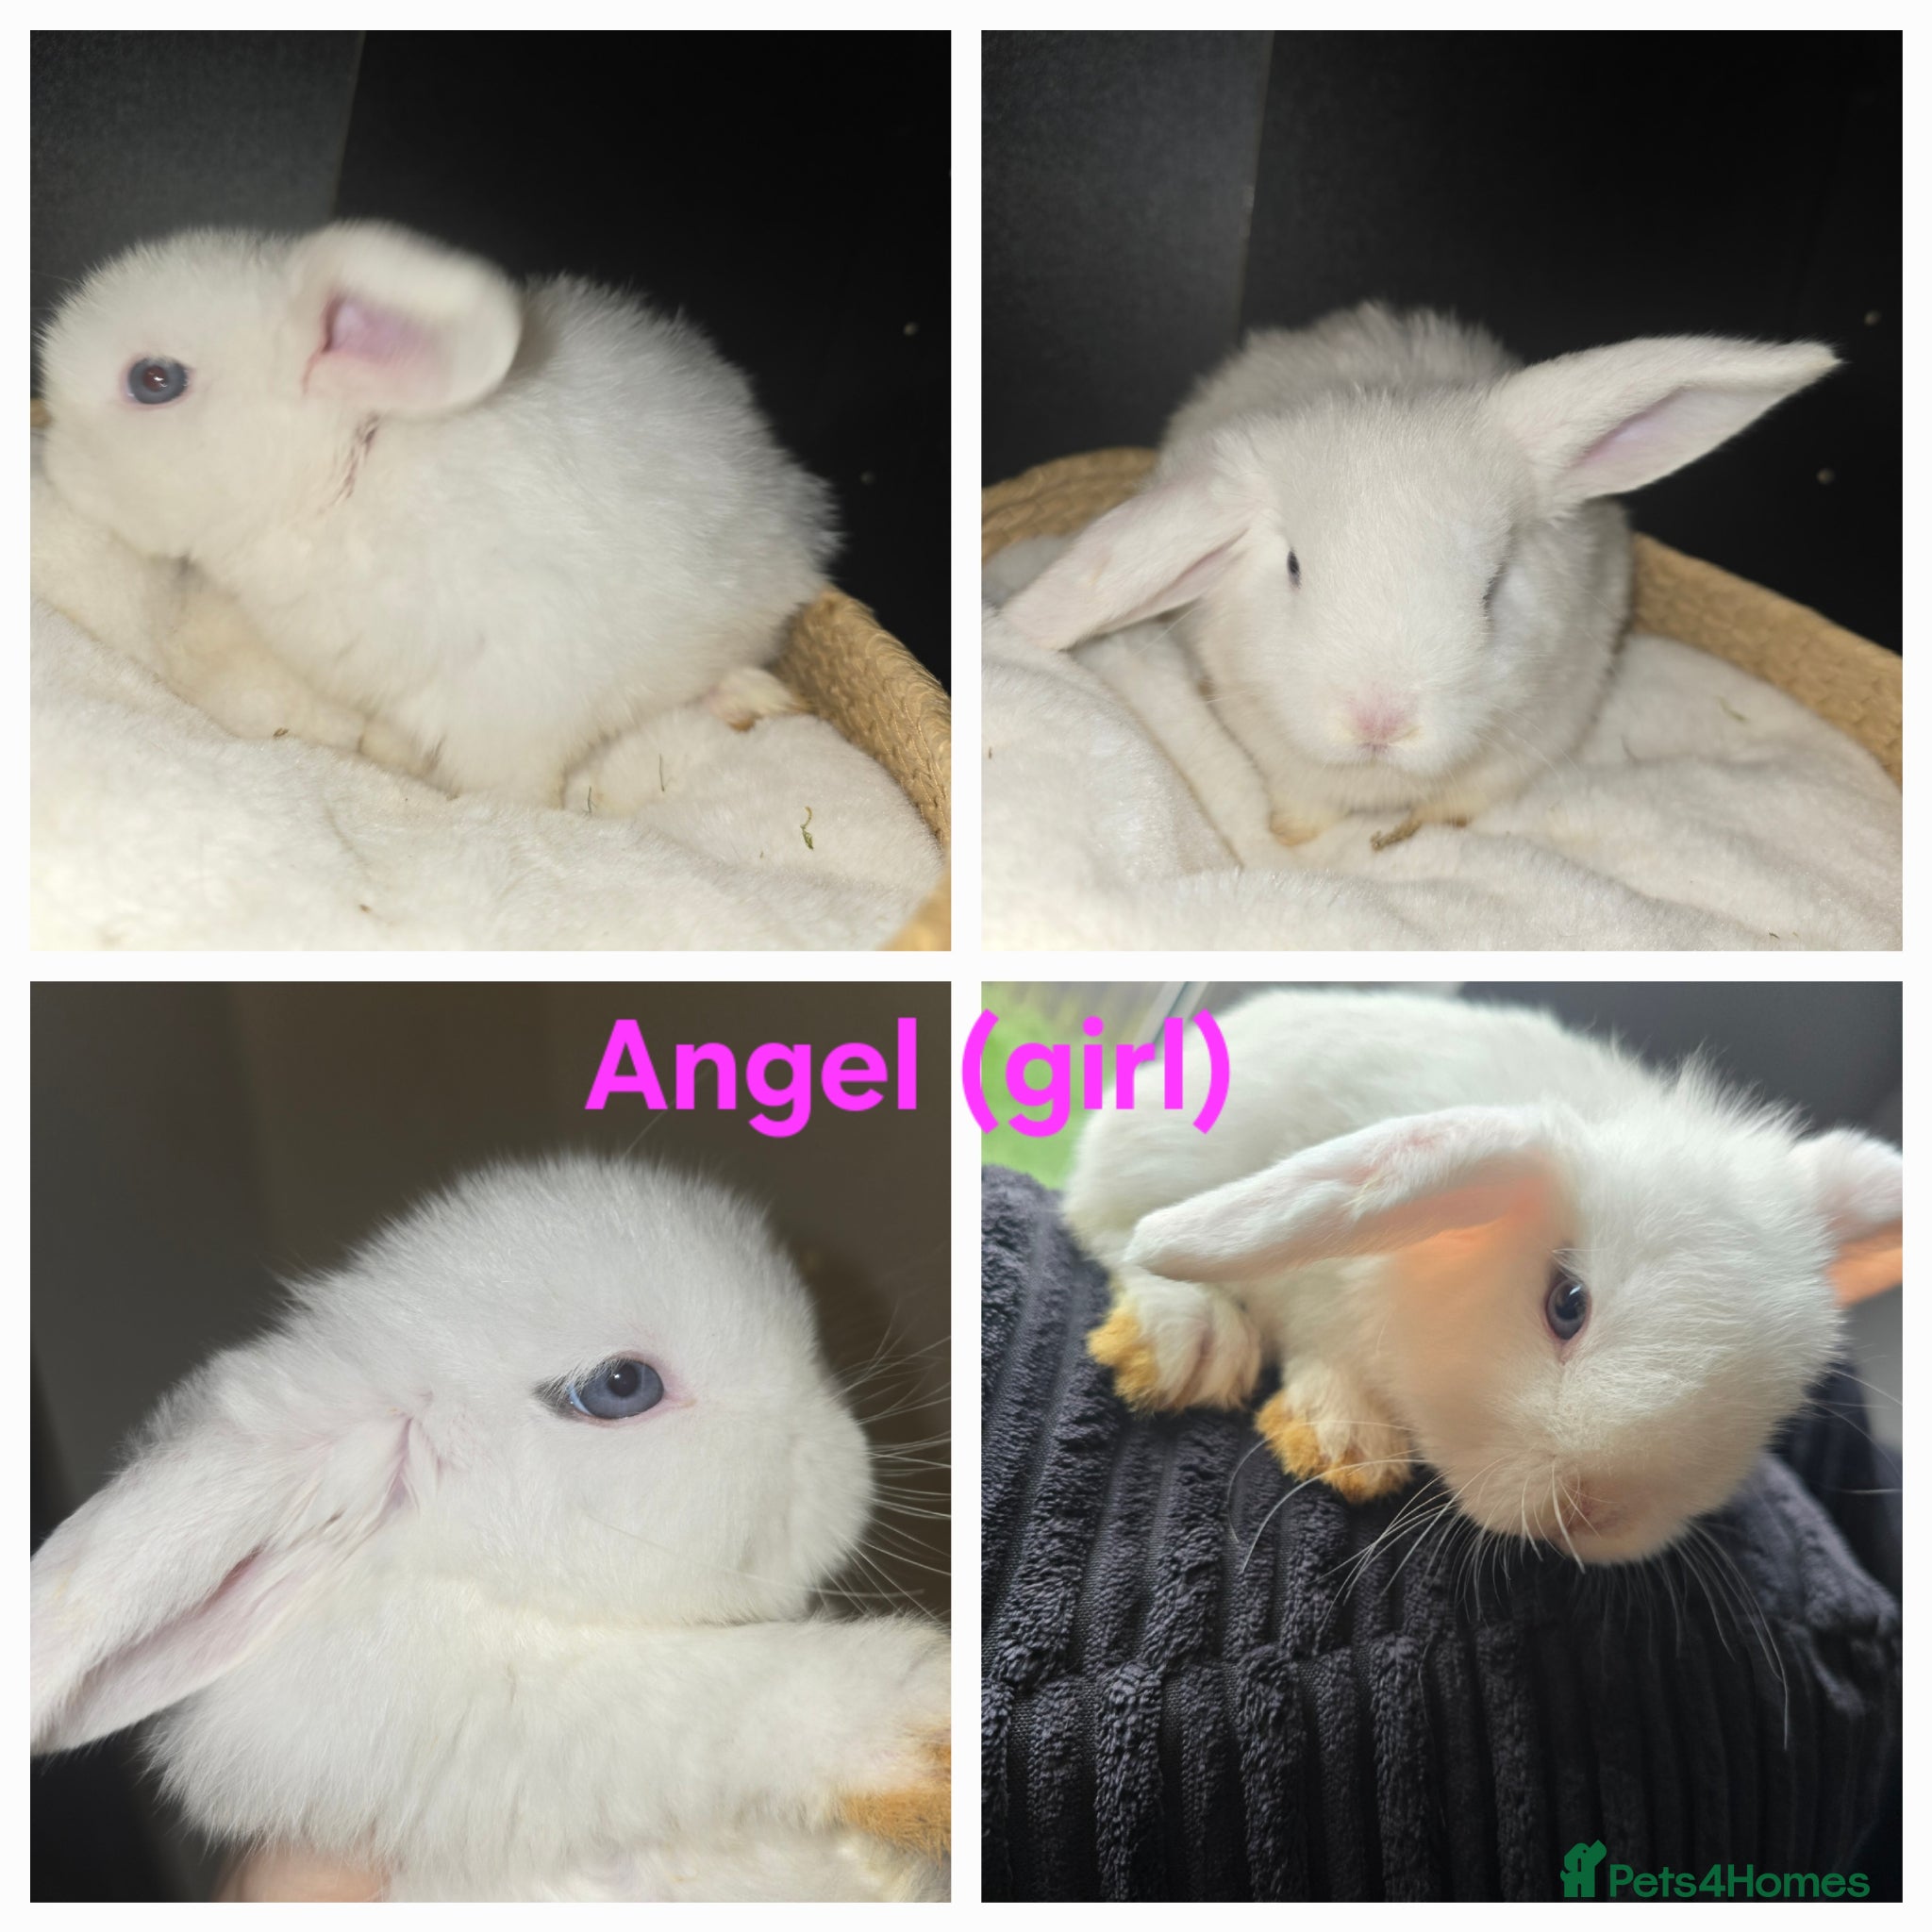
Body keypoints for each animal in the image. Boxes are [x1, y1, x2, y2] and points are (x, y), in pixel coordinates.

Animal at [31, 1155, 949, 1900]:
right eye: (621, 1385)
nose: (848, 1450)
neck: (476, 1586)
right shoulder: (481, 1728)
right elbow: (696, 1695)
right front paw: (928, 1723)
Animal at [36, 221, 837, 804]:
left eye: (155, 380)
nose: (51, 455)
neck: (350, 466)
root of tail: (792, 496)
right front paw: (383, 750)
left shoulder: (517, 694)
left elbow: (510, 784)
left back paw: (752, 697)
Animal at [1003, 301, 1838, 847]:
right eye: (1295, 567)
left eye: (1492, 586)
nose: (1380, 723)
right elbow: (1301, 804)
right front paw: (1292, 838)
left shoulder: (1543, 728)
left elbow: (1467, 798)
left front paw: (1424, 826)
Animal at [1063, 989, 1901, 1565]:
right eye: (1567, 1305)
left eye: (1776, 1398)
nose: (1596, 1514)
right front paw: (1348, 1437)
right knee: (1109, 1225)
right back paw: (1189, 1340)